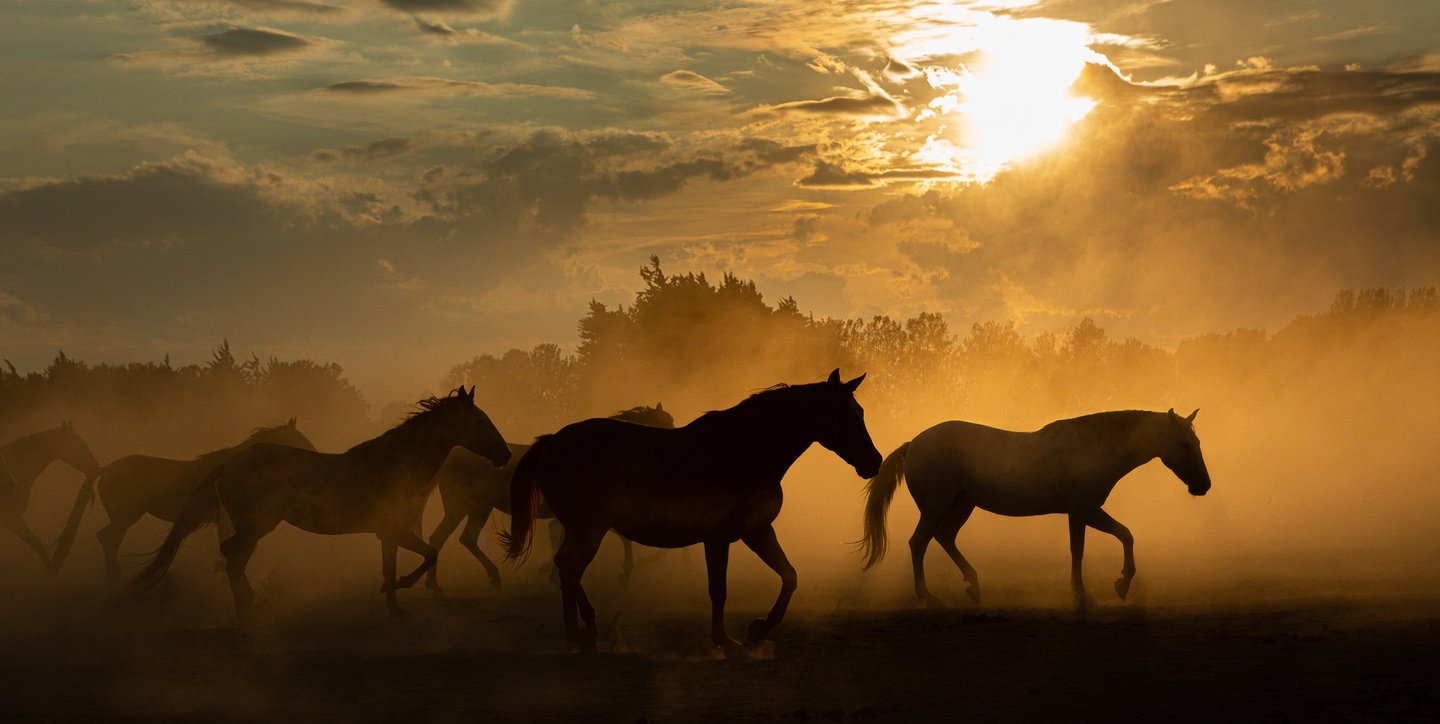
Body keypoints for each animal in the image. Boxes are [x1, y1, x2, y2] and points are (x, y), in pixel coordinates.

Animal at [48, 419, 316, 580]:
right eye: (300, 440)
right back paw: (115, 576)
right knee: (106, 538)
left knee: (109, 539)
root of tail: (104, 470)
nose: (315, 454)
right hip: (126, 516)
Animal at [130, 387, 510, 624]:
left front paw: (395, 608)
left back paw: (249, 610)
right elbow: (430, 554)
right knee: (232, 558)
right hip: (256, 525)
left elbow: (392, 565)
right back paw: (249, 613)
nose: (505, 454)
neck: (396, 461)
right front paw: (400, 587)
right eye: (479, 421)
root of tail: (230, 463)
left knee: (234, 559)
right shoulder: (397, 530)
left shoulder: (387, 533)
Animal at [423, 404, 675, 597]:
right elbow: (621, 539)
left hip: (473, 507)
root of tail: (449, 458)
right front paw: (625, 573)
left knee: (453, 538)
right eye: (665, 424)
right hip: (468, 506)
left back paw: (437, 585)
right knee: (453, 538)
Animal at [503, 370, 882, 652]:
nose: (874, 461)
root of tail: (553, 441)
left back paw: (578, 631)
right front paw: (725, 640)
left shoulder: (756, 531)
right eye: (843, 415)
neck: (745, 450)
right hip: (589, 528)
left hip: (585, 528)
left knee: (568, 568)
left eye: (861, 413)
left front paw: (757, 630)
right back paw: (585, 630)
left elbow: (789, 576)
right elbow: (719, 589)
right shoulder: (717, 538)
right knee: (569, 567)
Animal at [859, 409, 1211, 608]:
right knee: (918, 543)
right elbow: (1122, 536)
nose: (1203, 485)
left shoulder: (1078, 512)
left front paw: (1087, 592)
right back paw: (929, 597)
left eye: (1196, 442)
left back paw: (973, 587)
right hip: (936, 507)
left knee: (945, 538)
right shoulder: (1086, 508)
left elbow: (1082, 548)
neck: (1094, 447)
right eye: (1183, 444)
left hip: (962, 504)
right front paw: (1117, 586)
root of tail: (914, 444)